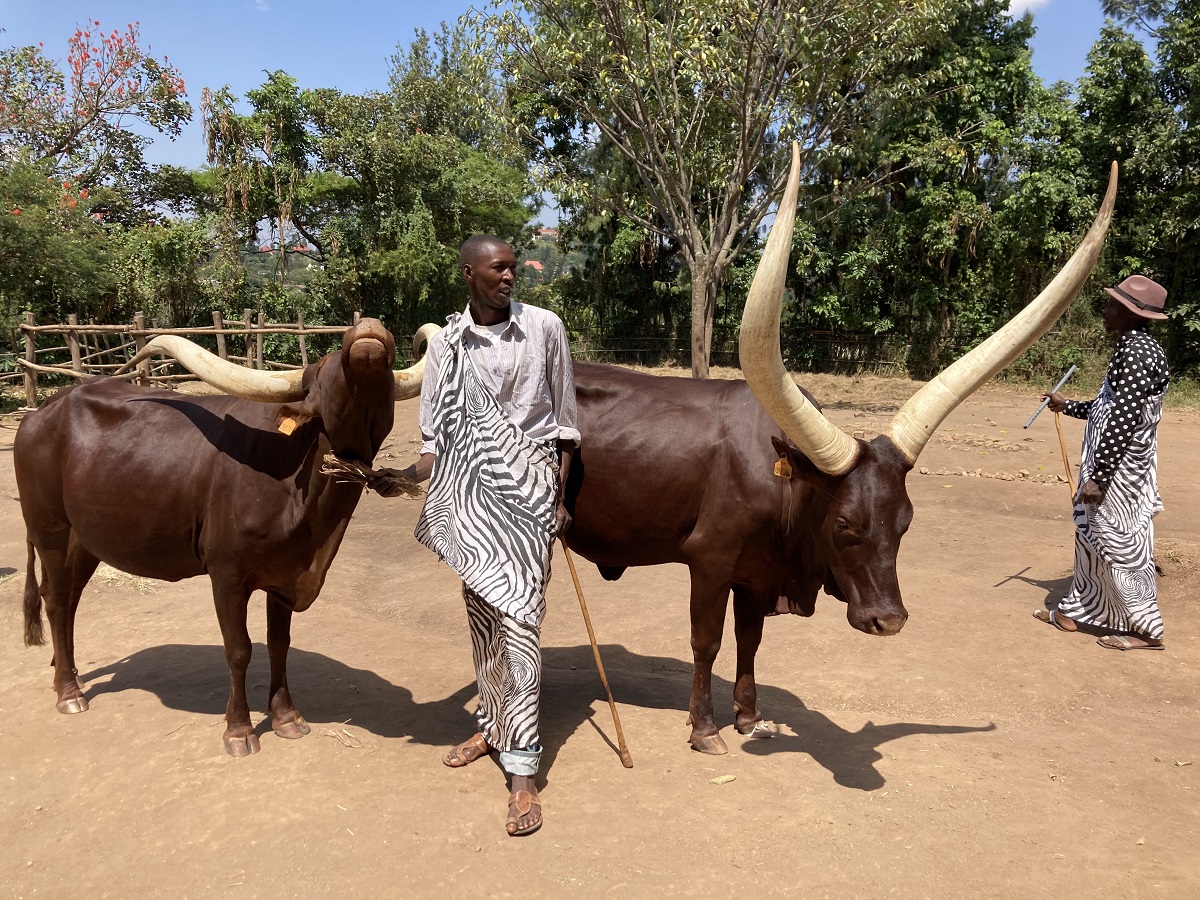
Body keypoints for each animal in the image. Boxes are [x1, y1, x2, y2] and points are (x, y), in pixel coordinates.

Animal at [16, 321, 436, 758]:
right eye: (320, 372)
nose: (368, 329)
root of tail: (40, 413)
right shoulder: (227, 574)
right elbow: (239, 649)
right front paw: (239, 730)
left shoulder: (285, 572)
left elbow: (279, 642)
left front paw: (287, 717)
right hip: (50, 530)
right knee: (56, 601)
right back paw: (69, 692)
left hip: (85, 541)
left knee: (66, 600)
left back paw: (67, 673)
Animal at [561, 148, 1113, 753]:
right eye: (845, 522)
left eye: (906, 522)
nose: (888, 621)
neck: (783, 482)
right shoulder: (710, 560)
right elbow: (707, 642)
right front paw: (705, 728)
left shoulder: (757, 573)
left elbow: (750, 640)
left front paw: (749, 716)